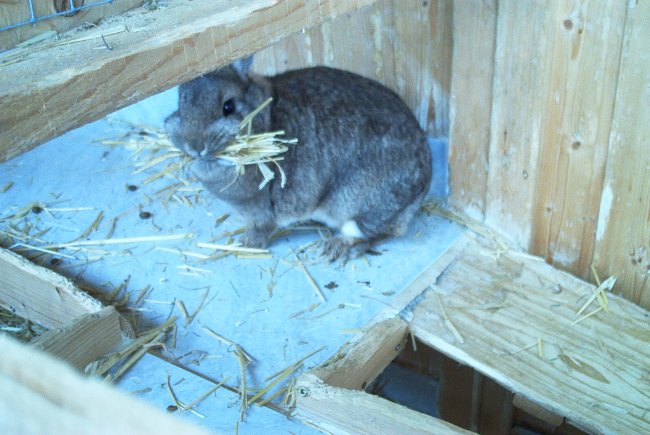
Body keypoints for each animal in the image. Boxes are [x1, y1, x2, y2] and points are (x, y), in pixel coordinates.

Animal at [165, 58, 432, 262]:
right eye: (181, 105)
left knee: (376, 232)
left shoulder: (261, 212)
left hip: (355, 205)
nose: (194, 146)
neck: (266, 119)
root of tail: (422, 188)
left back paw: (337, 248)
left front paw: (245, 245)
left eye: (228, 107)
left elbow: (260, 230)